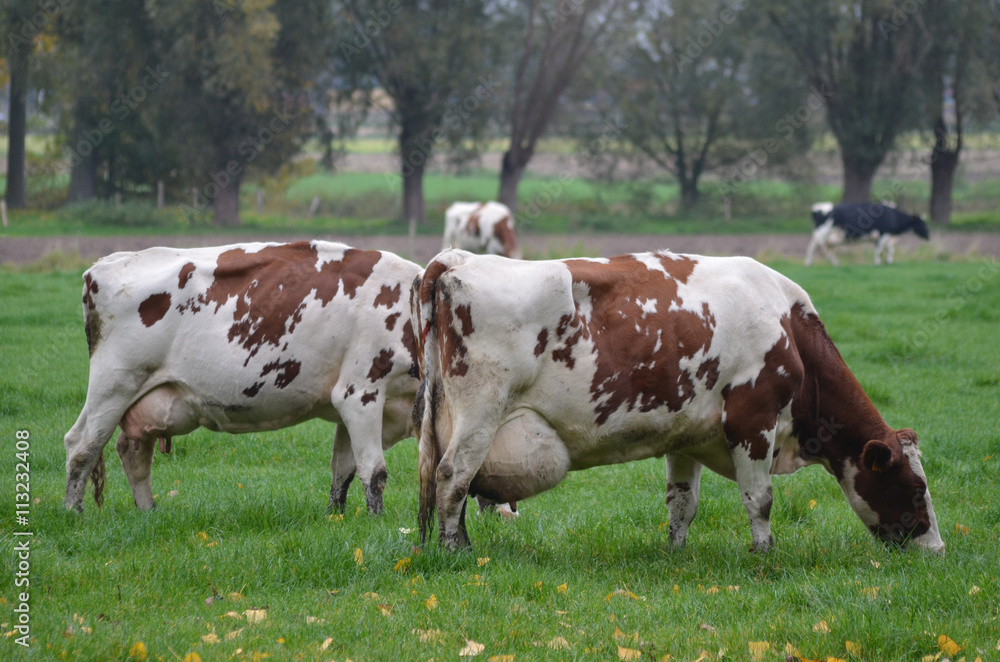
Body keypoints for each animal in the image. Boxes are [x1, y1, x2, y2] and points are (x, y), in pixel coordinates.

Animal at [61, 241, 422, 516]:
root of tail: (106, 263)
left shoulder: (348, 404)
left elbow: (343, 471)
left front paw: (337, 518)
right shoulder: (360, 393)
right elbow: (373, 471)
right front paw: (375, 522)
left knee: (133, 452)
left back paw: (148, 512)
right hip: (114, 384)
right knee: (82, 445)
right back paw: (73, 513)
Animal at [412, 249, 944, 556]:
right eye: (916, 487)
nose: (936, 548)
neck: (787, 325)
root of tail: (458, 259)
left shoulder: (687, 437)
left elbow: (682, 502)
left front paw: (676, 552)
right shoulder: (754, 421)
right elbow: (760, 498)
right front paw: (765, 553)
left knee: (442, 476)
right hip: (480, 413)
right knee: (453, 476)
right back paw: (456, 551)